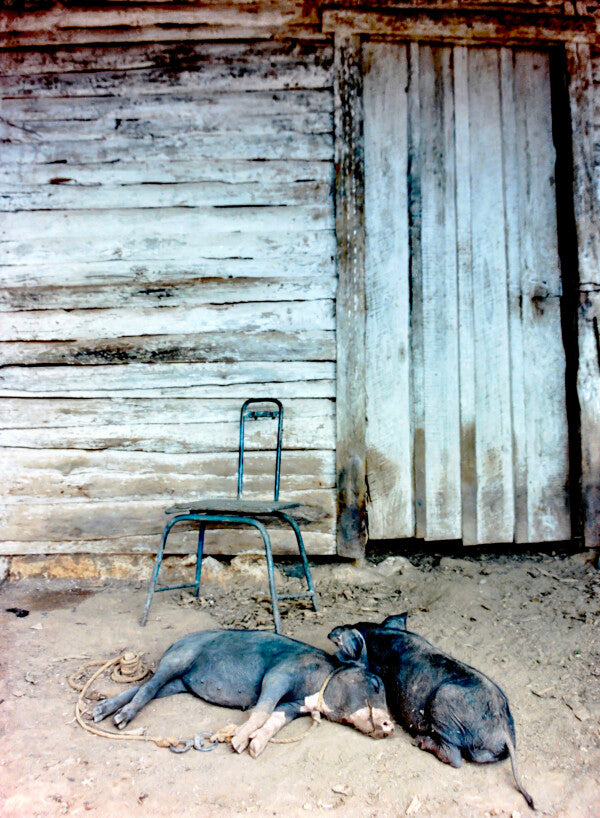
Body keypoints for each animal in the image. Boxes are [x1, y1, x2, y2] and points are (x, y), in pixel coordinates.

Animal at [92, 628, 394, 756]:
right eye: (376, 684)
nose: (390, 727)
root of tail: (175, 642)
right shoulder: (279, 675)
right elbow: (261, 711)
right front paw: (237, 743)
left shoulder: (294, 706)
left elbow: (274, 720)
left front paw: (255, 748)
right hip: (178, 660)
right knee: (148, 687)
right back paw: (119, 720)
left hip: (178, 683)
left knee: (147, 688)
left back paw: (99, 714)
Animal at [332, 608, 536, 808]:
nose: (335, 631)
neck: (379, 638)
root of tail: (503, 730)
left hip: (444, 702)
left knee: (454, 756)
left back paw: (419, 742)